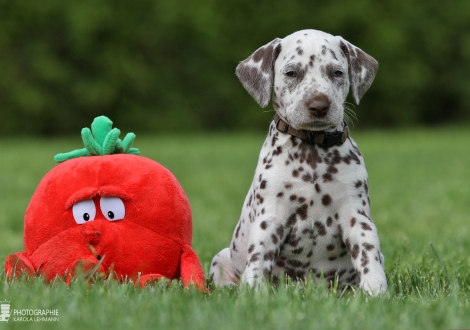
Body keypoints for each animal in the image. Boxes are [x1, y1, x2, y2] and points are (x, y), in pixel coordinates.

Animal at [211, 29, 388, 296]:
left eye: (337, 72)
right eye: (292, 73)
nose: (319, 105)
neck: (312, 152)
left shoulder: (357, 217)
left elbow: (368, 257)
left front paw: (376, 293)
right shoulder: (270, 218)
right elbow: (258, 259)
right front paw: (254, 294)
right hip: (220, 259)